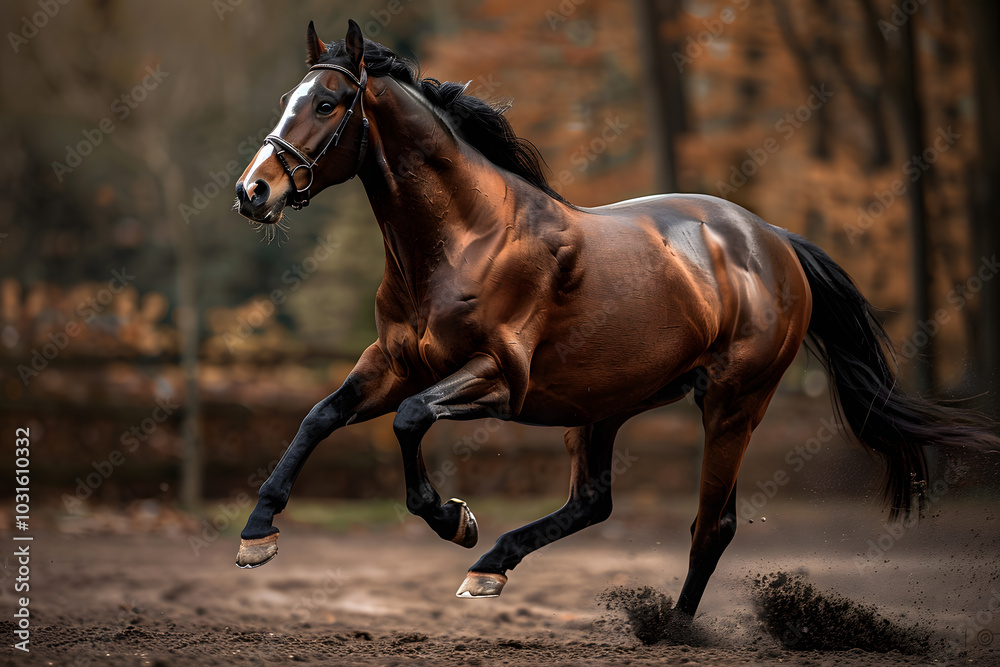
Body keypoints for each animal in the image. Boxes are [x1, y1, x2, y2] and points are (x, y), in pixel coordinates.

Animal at [232, 19, 998, 615]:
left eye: (328, 101)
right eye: (287, 99)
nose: (253, 190)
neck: (464, 240)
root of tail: (774, 240)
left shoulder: (497, 379)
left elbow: (410, 419)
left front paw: (455, 520)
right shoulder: (392, 362)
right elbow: (321, 416)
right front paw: (257, 533)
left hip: (732, 403)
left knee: (711, 524)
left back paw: (670, 627)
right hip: (604, 403)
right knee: (595, 503)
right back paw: (492, 570)